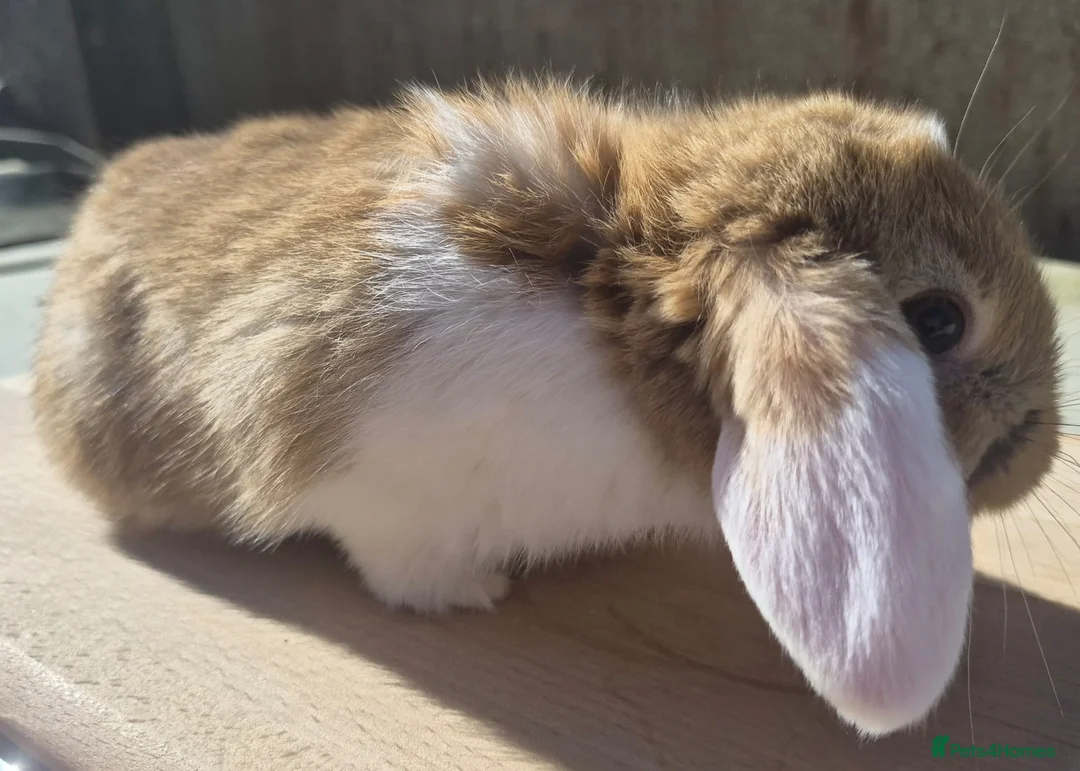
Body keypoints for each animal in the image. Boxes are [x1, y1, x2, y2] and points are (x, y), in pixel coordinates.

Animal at [31, 78, 1061, 737]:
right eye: (937, 321)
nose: (1043, 448)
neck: (618, 281)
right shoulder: (383, 492)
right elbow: (399, 561)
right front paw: (469, 595)